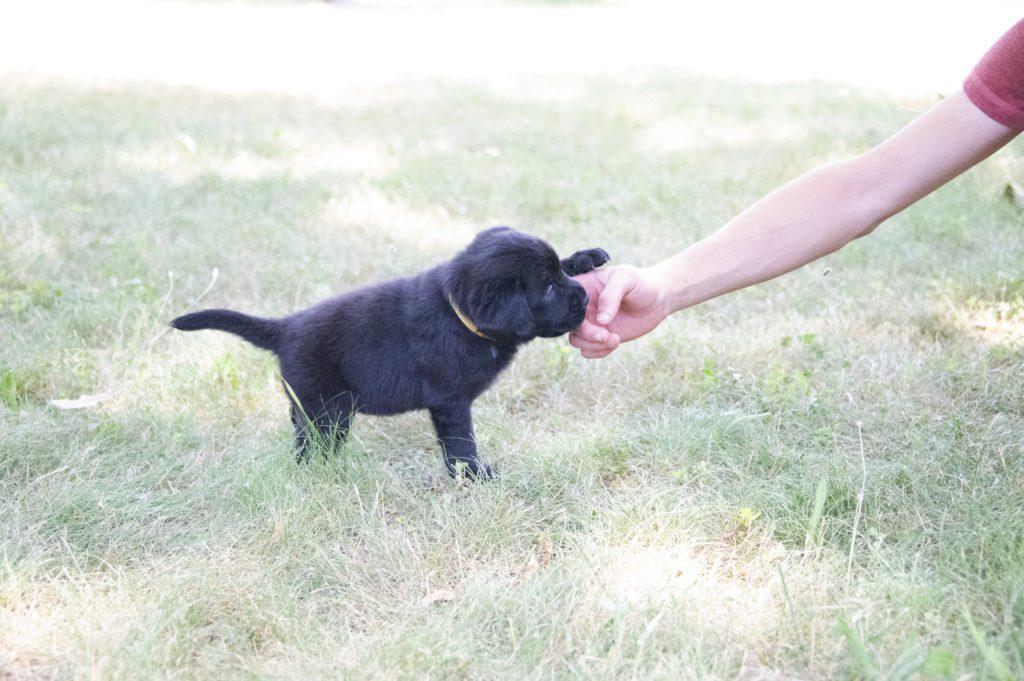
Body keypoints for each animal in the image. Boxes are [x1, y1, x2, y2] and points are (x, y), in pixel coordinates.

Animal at [169, 225, 606, 475]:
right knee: (311, 448)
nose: (585, 298)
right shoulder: (451, 402)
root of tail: (285, 327)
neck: (458, 311)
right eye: (546, 288)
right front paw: (474, 475)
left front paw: (586, 257)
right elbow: (461, 443)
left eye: (557, 273)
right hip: (327, 412)